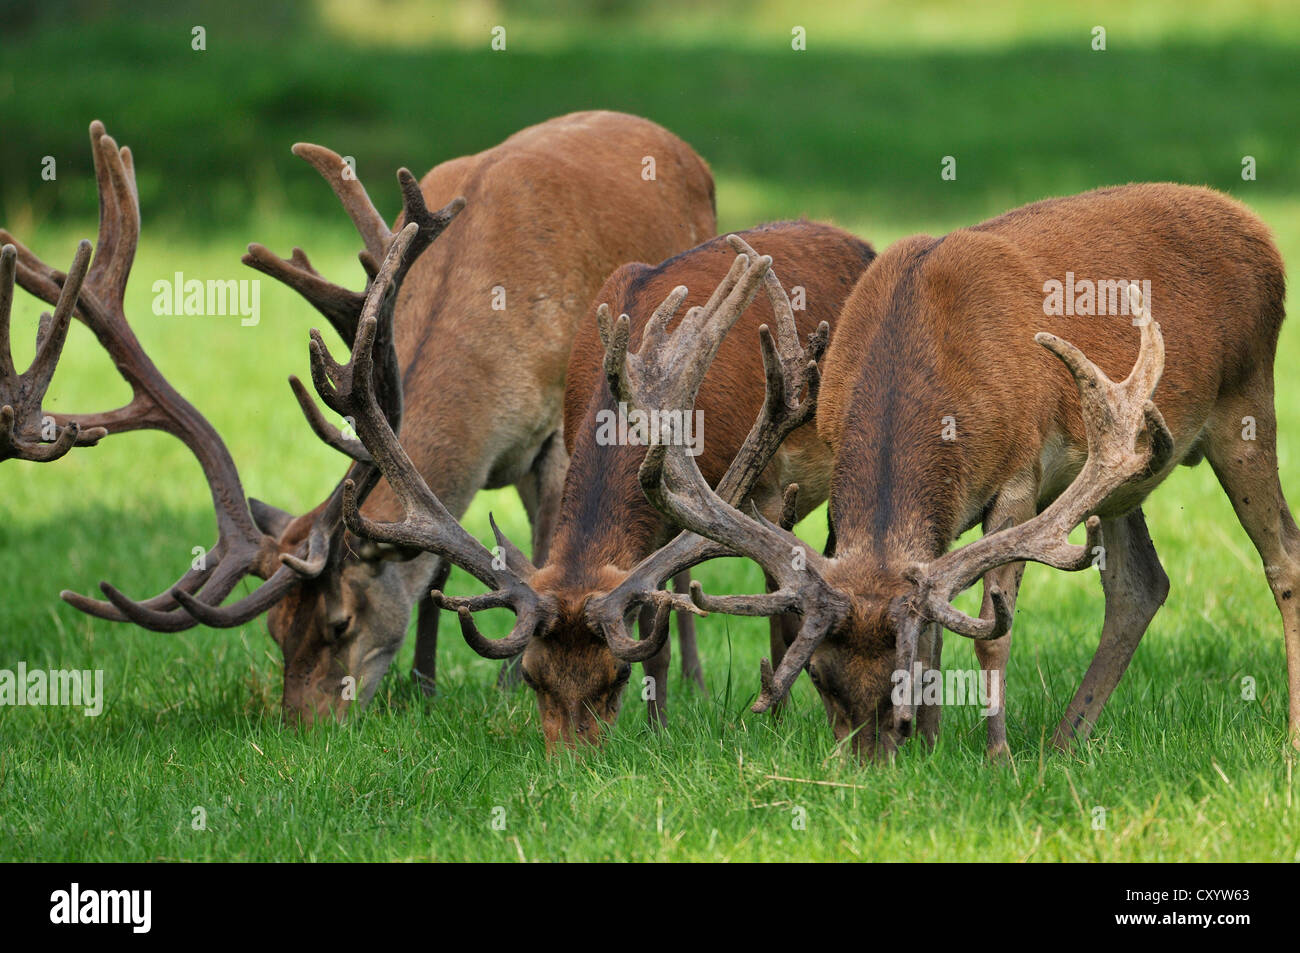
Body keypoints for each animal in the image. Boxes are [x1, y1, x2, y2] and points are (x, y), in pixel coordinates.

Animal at [0, 112, 717, 724]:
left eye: (340, 623)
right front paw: (425, 687)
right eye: (275, 630)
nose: (304, 726)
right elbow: (439, 572)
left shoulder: (554, 446)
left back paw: (691, 675)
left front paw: (509, 685)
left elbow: (542, 559)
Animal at [309, 222, 875, 750]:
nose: (572, 761)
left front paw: (704, 729)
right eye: (532, 677)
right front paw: (657, 729)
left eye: (616, 676)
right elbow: (656, 625)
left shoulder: (742, 499)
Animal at [629, 183, 1296, 760]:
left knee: (1283, 555)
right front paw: (932, 746)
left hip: (1245, 399)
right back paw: (1064, 742)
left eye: (898, 682)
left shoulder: (1021, 476)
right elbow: (937, 624)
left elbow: (991, 628)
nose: (867, 761)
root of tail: (1257, 228)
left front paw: (995, 756)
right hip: (1126, 473)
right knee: (1140, 585)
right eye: (817, 673)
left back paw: (1287, 737)